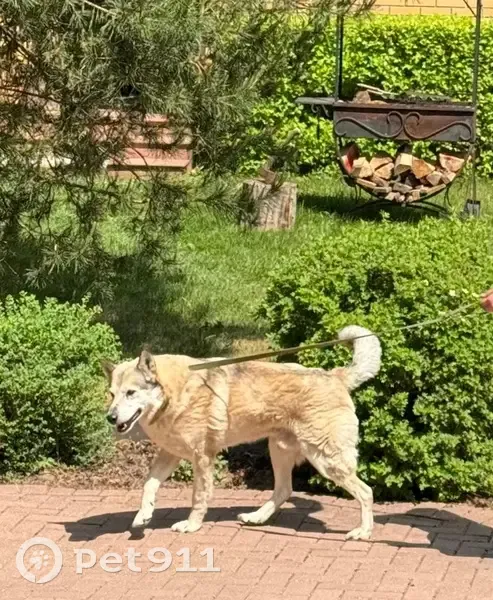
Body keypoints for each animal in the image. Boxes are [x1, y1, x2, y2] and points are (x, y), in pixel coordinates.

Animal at [102, 325, 381, 540]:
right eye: (112, 394)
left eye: (131, 393)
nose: (110, 417)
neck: (174, 393)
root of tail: (335, 376)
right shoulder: (170, 454)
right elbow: (149, 485)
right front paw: (143, 515)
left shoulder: (202, 458)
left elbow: (198, 497)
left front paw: (192, 525)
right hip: (279, 450)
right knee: (284, 490)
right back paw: (257, 517)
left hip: (326, 460)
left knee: (366, 492)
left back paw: (363, 532)